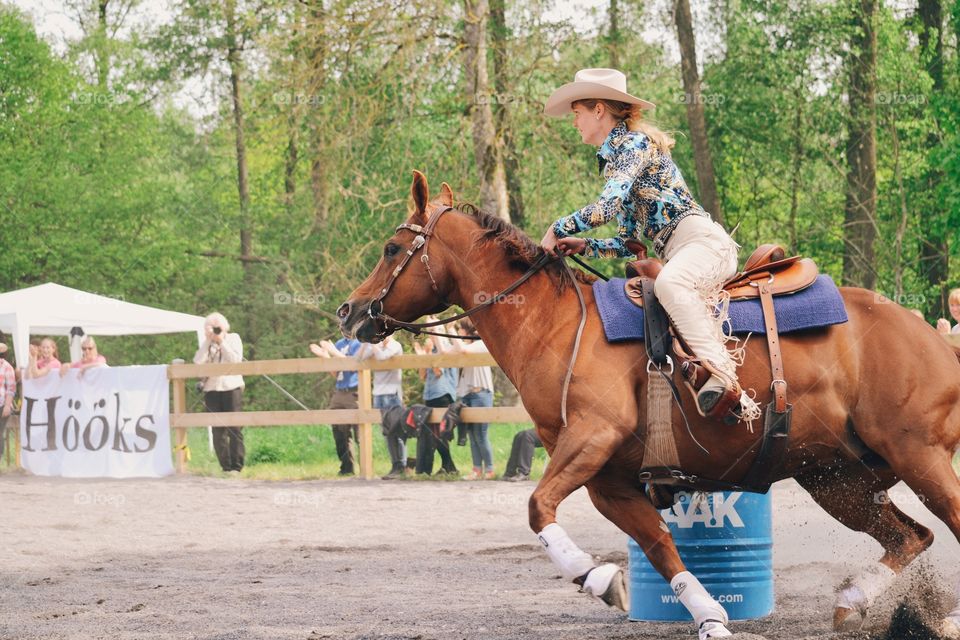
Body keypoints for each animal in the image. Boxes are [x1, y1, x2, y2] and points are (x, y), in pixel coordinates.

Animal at [338, 172, 960, 636]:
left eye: (392, 248)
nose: (351, 311)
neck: (557, 327)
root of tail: (930, 336)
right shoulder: (608, 479)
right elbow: (659, 545)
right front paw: (705, 615)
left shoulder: (591, 439)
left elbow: (538, 507)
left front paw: (594, 577)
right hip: (836, 478)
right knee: (912, 537)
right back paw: (855, 600)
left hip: (919, 458)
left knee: (943, 525)